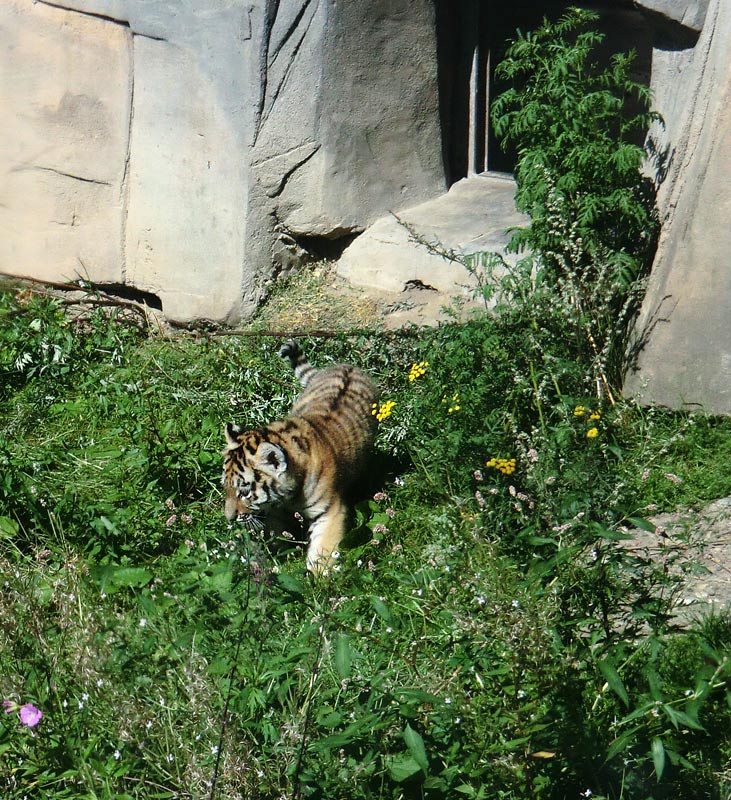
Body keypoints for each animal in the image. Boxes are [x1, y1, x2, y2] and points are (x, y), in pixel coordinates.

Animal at [223, 340, 378, 572]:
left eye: (244, 491)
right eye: (226, 487)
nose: (229, 519)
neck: (289, 497)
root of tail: (346, 365)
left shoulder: (329, 510)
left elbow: (323, 548)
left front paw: (319, 577)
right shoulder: (275, 511)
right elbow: (277, 534)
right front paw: (276, 557)